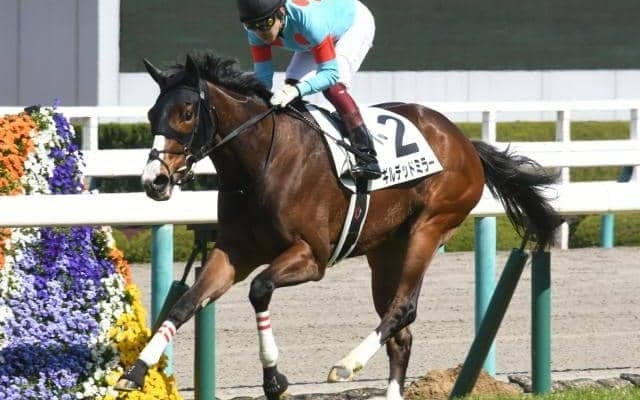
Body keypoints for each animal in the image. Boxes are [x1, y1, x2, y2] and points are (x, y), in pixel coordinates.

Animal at [115, 51, 561, 399]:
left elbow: (260, 289)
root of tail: (465, 141)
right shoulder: (234, 253)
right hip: (386, 252)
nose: (154, 181)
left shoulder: (312, 257)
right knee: (401, 333)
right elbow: (185, 303)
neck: (261, 163)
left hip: (430, 227)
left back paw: (347, 364)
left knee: (402, 309)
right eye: (152, 113)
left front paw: (274, 378)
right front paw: (134, 372)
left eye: (187, 113)